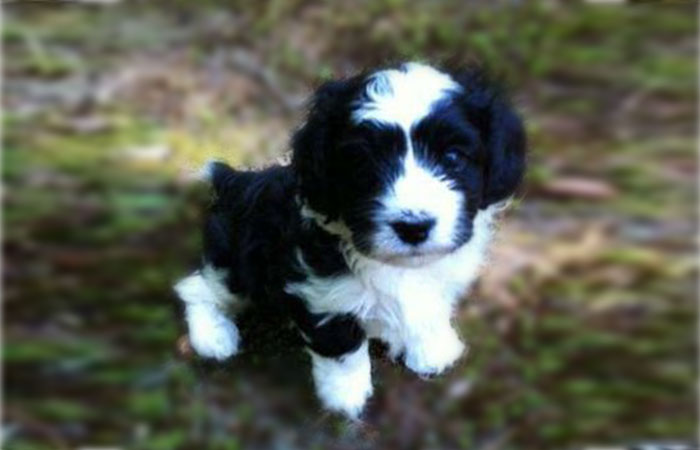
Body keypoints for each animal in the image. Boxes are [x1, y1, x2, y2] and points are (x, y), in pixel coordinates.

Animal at [175, 62, 524, 418]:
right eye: (364, 162)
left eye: (453, 157)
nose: (414, 227)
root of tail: (234, 181)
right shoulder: (322, 293)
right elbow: (342, 348)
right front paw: (346, 398)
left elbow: (431, 309)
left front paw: (434, 350)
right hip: (237, 261)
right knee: (197, 287)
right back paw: (213, 336)